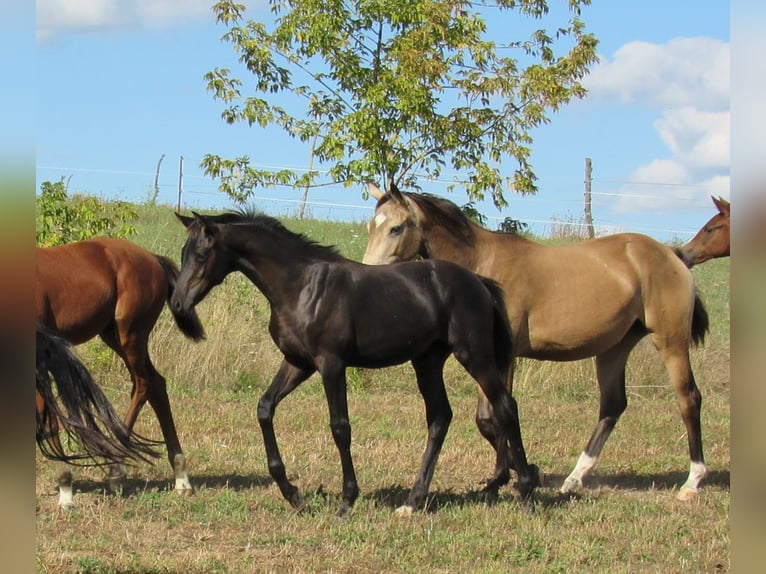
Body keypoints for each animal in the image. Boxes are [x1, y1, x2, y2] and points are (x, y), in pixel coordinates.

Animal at [171, 210, 539, 516]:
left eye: (202, 255)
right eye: (182, 253)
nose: (177, 304)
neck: (302, 286)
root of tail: (479, 284)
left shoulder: (331, 364)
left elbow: (340, 427)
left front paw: (347, 499)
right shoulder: (297, 362)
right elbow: (264, 408)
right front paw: (294, 494)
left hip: (474, 355)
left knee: (505, 406)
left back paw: (526, 493)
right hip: (427, 362)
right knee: (440, 417)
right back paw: (413, 501)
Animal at [363, 182, 710, 501]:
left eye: (396, 227)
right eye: (371, 226)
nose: (369, 273)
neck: (482, 263)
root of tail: (672, 255)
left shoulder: (503, 358)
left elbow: (493, 415)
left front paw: (509, 476)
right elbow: (489, 419)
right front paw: (520, 472)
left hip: (671, 341)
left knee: (689, 399)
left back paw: (692, 481)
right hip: (614, 348)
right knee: (612, 405)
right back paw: (574, 478)